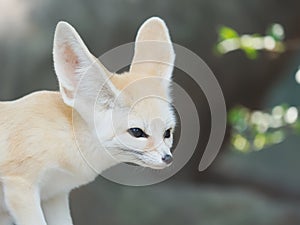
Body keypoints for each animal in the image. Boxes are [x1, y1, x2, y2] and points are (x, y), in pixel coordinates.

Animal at [0, 16, 176, 224]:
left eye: (167, 133)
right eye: (137, 132)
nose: (168, 158)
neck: (65, 134)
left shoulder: (55, 195)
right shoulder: (20, 186)